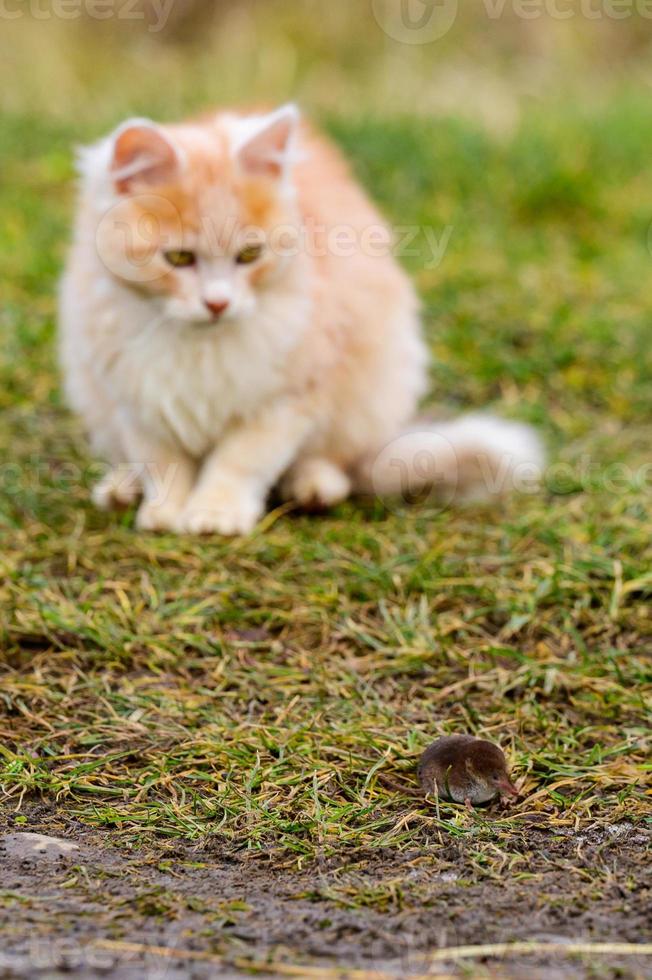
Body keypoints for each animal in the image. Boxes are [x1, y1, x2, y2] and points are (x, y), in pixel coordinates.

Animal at [59, 104, 540, 536]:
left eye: (249, 255)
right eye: (178, 258)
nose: (218, 304)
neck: (200, 346)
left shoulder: (287, 399)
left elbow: (238, 462)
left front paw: (215, 514)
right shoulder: (135, 399)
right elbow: (164, 465)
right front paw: (164, 513)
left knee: (334, 461)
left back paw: (314, 487)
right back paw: (121, 489)